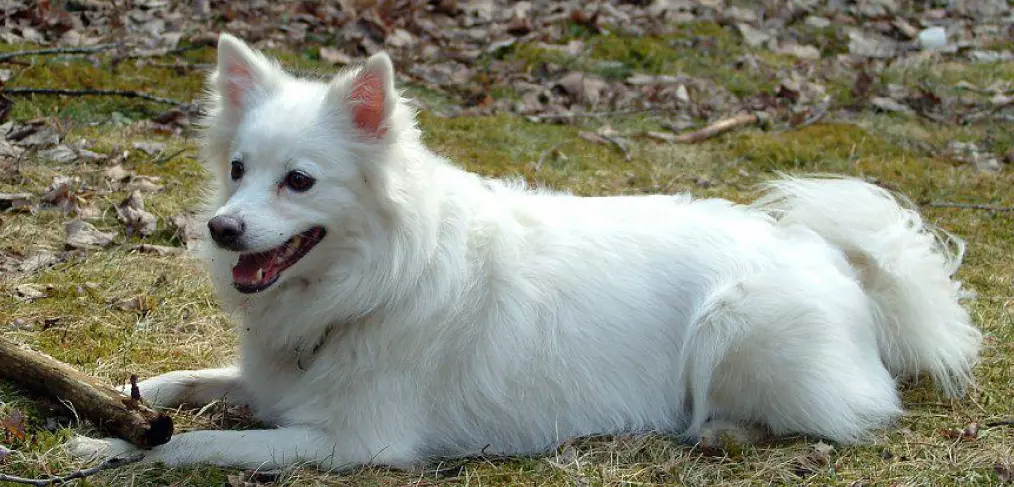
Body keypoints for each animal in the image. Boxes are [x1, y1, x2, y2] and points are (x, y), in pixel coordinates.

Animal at [67, 34, 977, 470]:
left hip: (737, 326)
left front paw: (102, 448)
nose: (222, 229)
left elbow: (191, 442)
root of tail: (842, 264)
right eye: (237, 170)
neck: (372, 283)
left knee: (846, 416)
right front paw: (113, 405)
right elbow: (184, 382)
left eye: (299, 181)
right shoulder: (268, 382)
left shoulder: (350, 441)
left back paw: (724, 431)